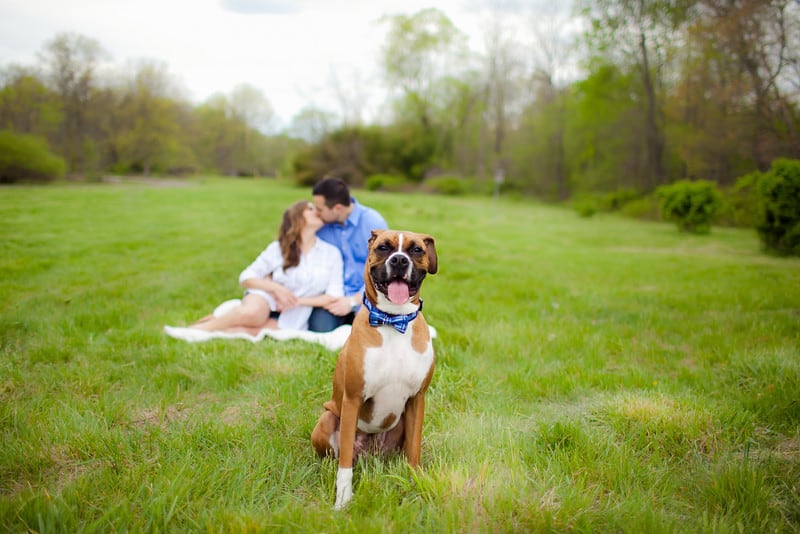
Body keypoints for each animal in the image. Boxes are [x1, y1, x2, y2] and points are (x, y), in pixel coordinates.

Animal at [310, 229, 438, 510]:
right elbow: (344, 464)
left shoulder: (417, 399)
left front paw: (415, 484)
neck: (393, 320)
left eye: (416, 250)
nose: (399, 260)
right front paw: (343, 500)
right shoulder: (352, 398)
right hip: (327, 419)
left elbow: (414, 451)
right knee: (337, 456)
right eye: (383, 247)